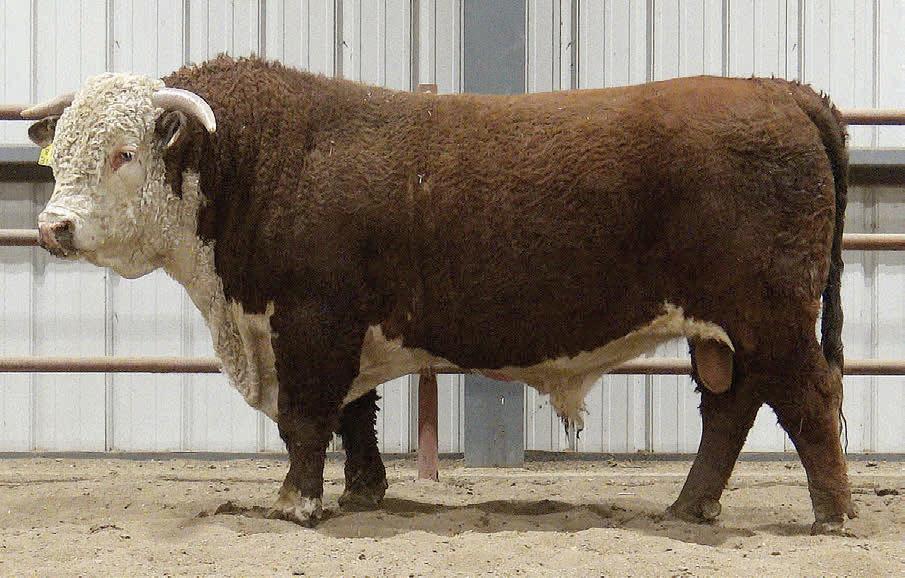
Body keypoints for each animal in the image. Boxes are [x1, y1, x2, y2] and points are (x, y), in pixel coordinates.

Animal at [23, 55, 854, 534]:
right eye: (63, 152)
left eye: (123, 154)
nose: (52, 226)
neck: (256, 160)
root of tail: (779, 92)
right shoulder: (341, 325)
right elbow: (353, 415)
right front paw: (362, 491)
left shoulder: (312, 320)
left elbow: (305, 419)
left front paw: (297, 503)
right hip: (725, 327)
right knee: (731, 410)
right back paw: (690, 506)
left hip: (772, 313)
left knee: (807, 399)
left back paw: (831, 515)